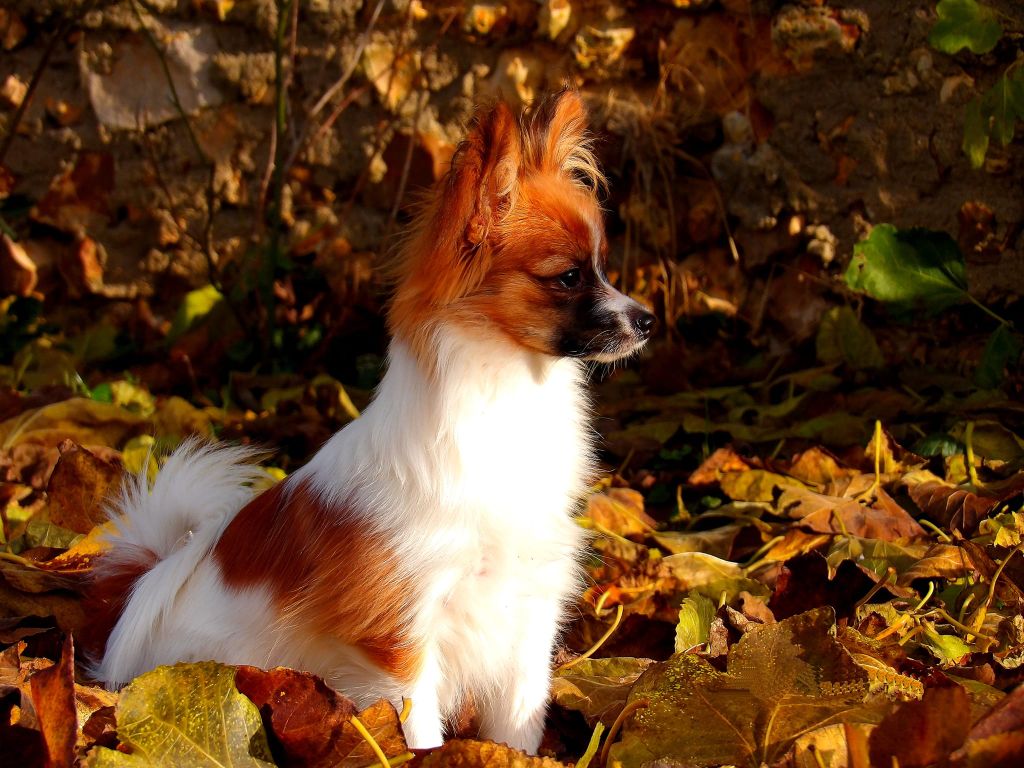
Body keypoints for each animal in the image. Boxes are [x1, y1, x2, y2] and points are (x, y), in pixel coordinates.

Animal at [89, 91, 655, 753]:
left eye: (604, 268)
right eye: (568, 277)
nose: (648, 320)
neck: (508, 397)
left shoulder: (526, 617)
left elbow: (517, 724)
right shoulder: (400, 639)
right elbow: (418, 731)